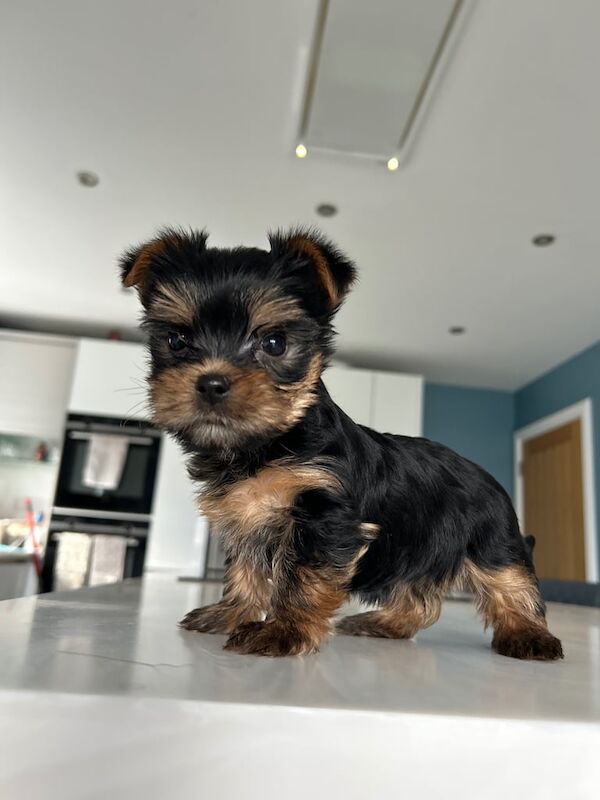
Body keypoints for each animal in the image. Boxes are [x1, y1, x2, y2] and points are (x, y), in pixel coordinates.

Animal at [120, 228, 564, 660]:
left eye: (275, 343)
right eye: (177, 340)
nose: (211, 383)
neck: (266, 445)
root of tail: (486, 475)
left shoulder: (326, 517)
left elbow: (304, 577)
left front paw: (284, 630)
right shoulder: (244, 517)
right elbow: (246, 568)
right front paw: (232, 611)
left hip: (490, 539)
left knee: (510, 580)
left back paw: (529, 635)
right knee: (420, 597)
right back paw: (383, 623)